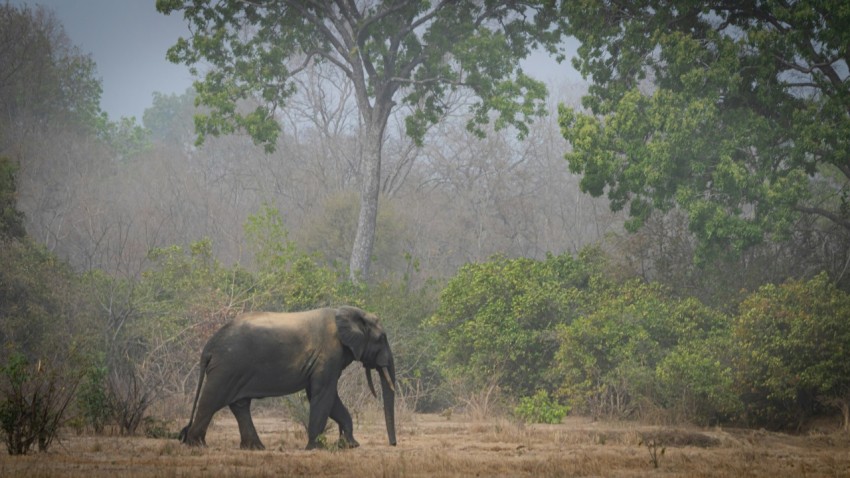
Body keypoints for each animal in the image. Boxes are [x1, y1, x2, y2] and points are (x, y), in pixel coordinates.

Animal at [179, 306, 397, 450]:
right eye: (382, 338)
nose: (393, 444)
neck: (349, 312)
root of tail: (209, 347)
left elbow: (326, 396)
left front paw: (350, 445)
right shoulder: (328, 354)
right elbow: (322, 394)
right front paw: (314, 448)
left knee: (239, 405)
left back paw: (255, 447)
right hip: (227, 367)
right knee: (211, 400)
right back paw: (196, 445)